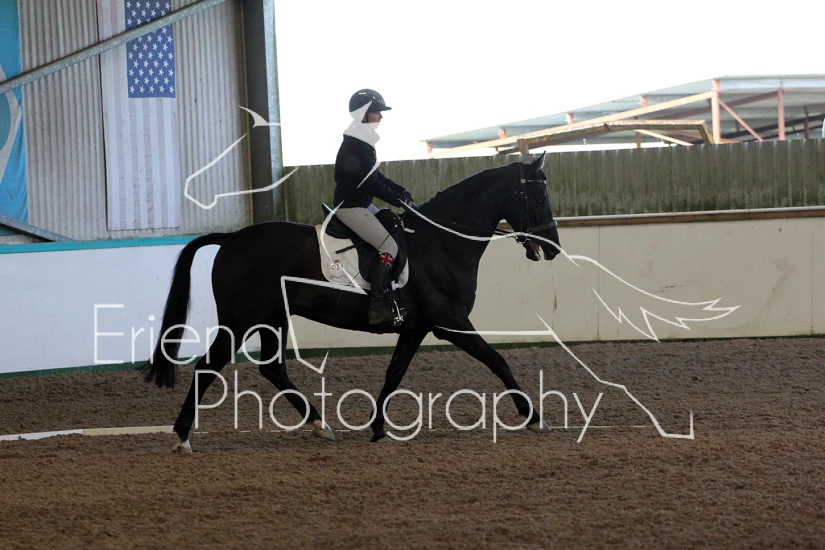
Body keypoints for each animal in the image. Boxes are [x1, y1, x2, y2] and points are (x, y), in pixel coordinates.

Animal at [142, 152, 561, 451]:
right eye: (539, 195)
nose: (554, 248)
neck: (441, 243)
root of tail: (231, 239)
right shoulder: (450, 322)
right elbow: (498, 360)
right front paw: (534, 417)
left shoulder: (417, 327)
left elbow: (394, 373)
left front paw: (377, 428)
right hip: (242, 318)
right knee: (208, 366)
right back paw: (182, 436)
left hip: (273, 317)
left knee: (272, 368)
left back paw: (320, 425)